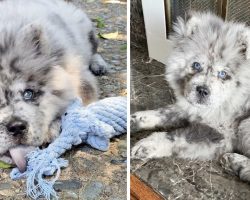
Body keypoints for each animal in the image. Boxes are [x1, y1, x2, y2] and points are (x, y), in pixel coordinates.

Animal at [0, 0, 107, 172]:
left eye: (28, 93)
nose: (16, 127)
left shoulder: (82, 80)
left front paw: (53, 129)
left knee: (94, 50)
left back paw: (99, 65)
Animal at [132, 12, 250, 183]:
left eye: (223, 74)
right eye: (196, 65)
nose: (202, 90)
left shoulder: (221, 131)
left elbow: (176, 136)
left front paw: (146, 145)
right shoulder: (189, 107)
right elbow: (161, 113)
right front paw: (133, 120)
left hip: (245, 124)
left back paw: (237, 163)